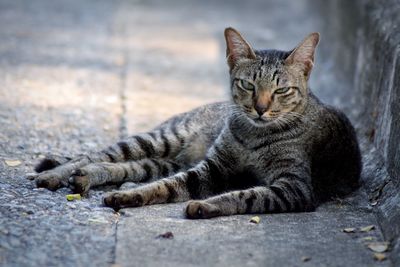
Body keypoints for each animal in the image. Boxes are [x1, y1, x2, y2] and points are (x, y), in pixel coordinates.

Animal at [30, 27, 362, 220]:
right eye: (248, 85)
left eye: (281, 91)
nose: (260, 108)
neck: (254, 135)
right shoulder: (213, 168)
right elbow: (169, 186)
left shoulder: (294, 187)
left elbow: (247, 195)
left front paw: (203, 206)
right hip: (161, 138)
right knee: (93, 155)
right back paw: (55, 174)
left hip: (163, 160)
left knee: (121, 167)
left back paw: (85, 177)